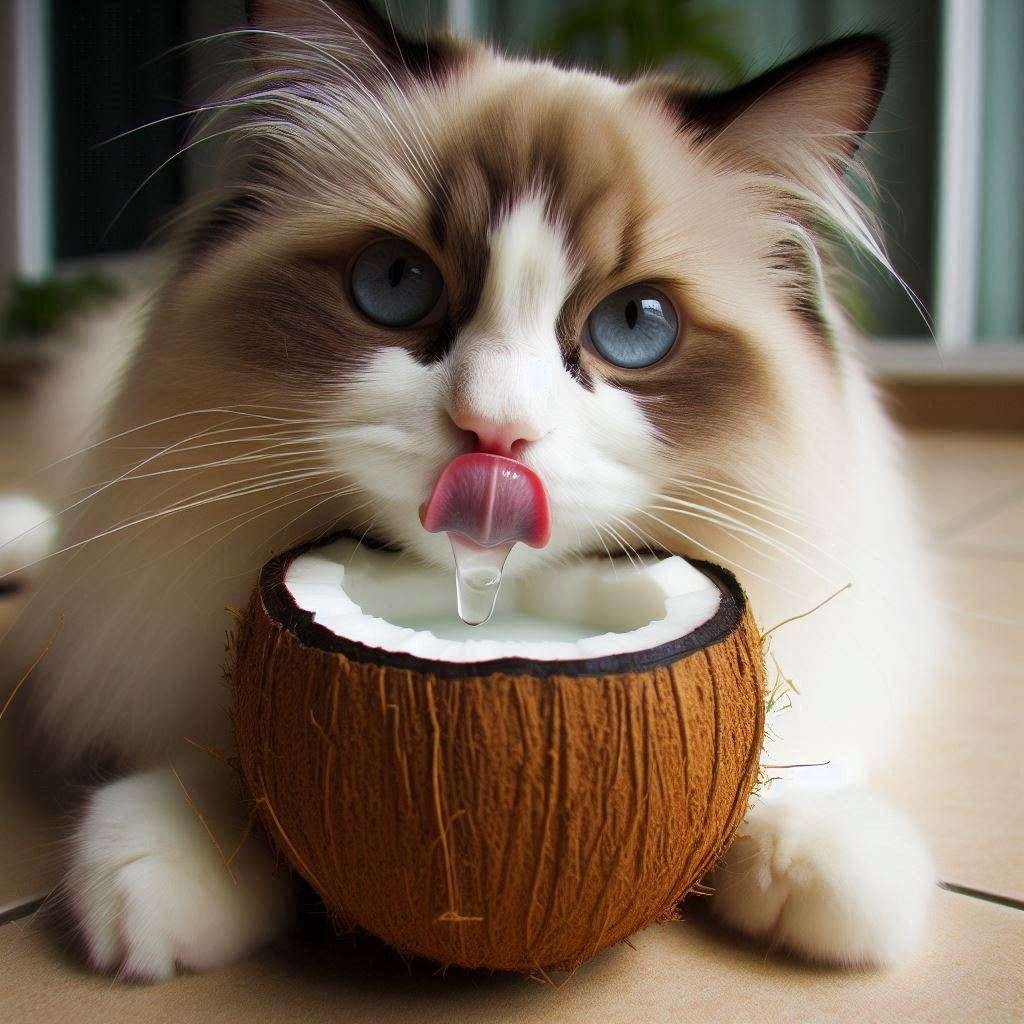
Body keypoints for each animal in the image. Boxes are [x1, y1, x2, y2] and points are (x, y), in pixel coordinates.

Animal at [0, 0, 942, 978]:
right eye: (394, 282)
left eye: (635, 326)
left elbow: (795, 746)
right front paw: (173, 859)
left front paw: (822, 860)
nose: (495, 433)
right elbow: (209, 739)